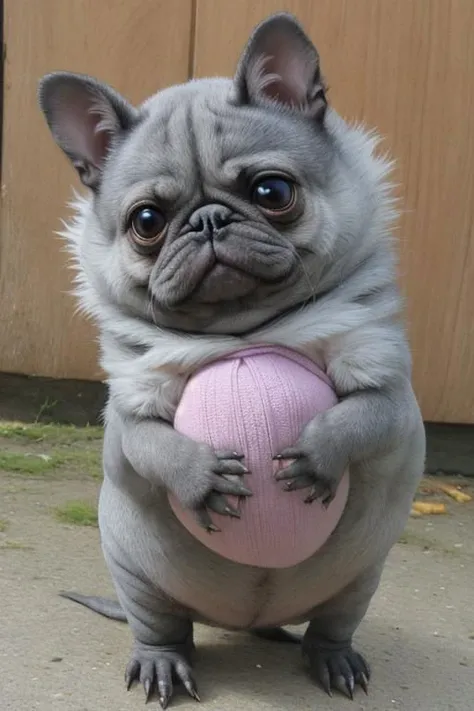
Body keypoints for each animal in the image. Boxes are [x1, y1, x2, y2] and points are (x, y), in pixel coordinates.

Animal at [39, 12, 424, 711]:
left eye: (272, 191)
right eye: (146, 221)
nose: (209, 221)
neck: (243, 333)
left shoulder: (387, 386)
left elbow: (360, 418)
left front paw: (319, 451)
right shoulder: (132, 410)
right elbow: (154, 445)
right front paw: (198, 476)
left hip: (360, 580)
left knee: (330, 626)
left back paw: (329, 659)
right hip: (138, 578)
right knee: (163, 630)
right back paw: (164, 664)